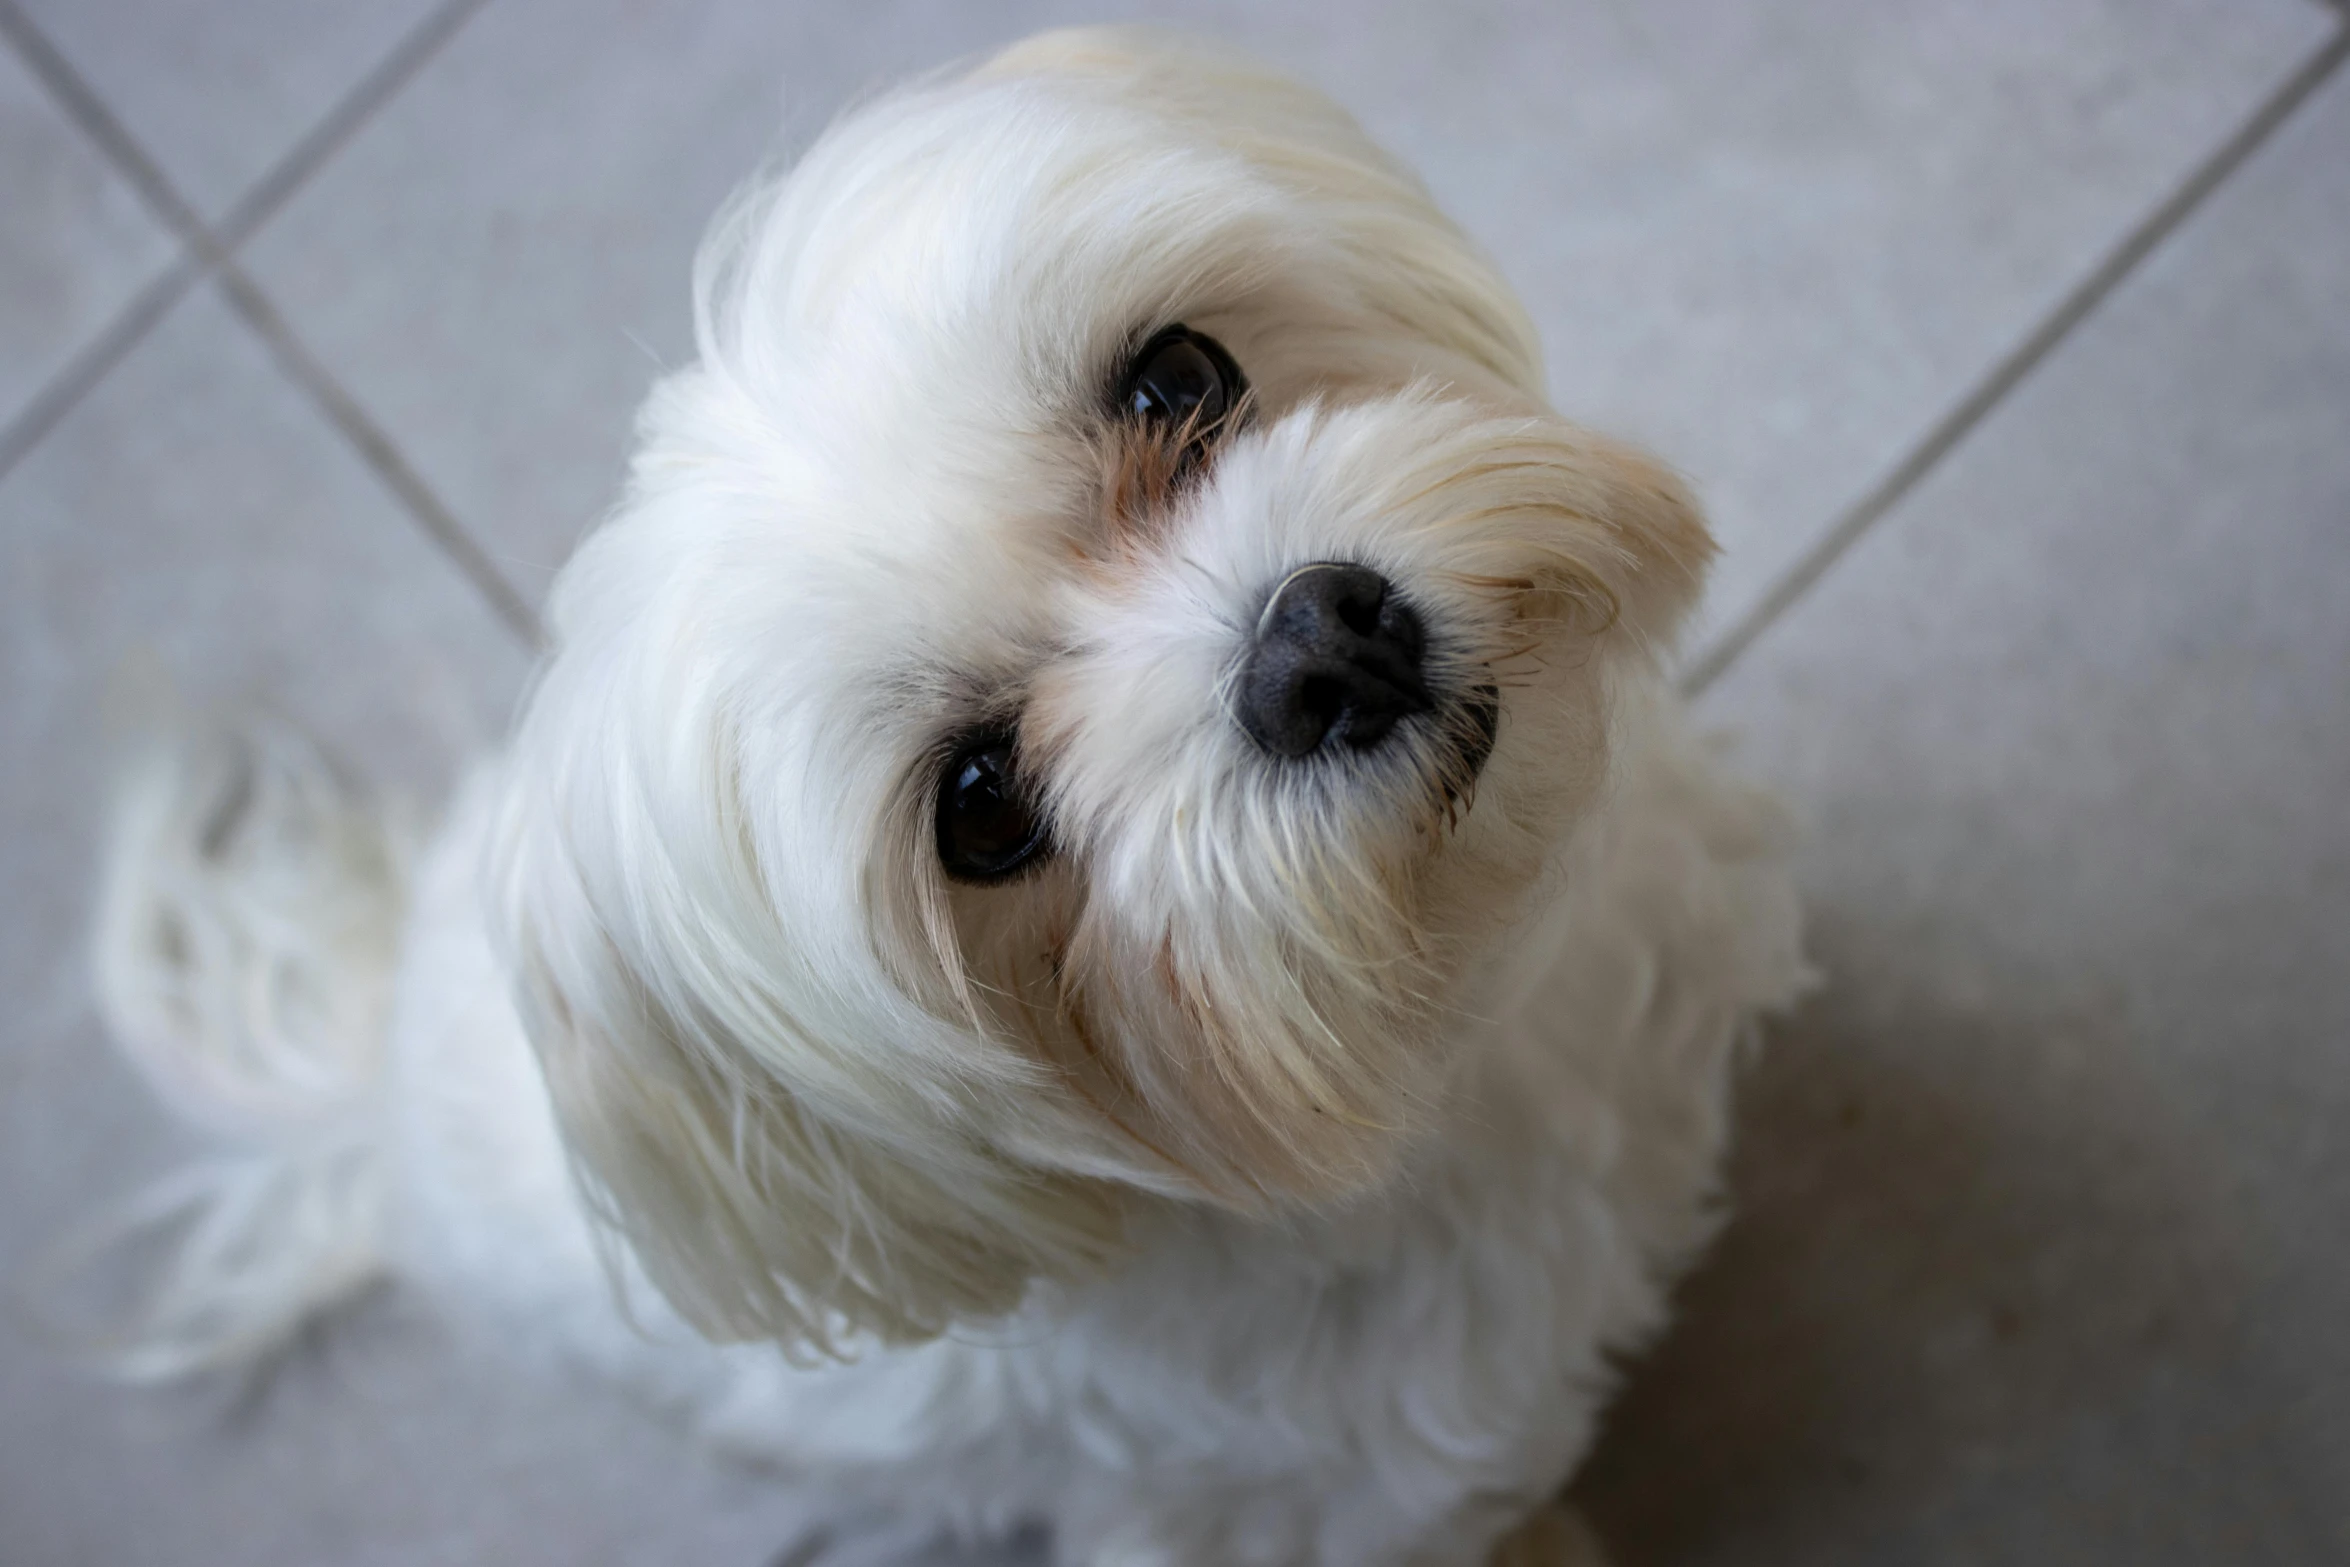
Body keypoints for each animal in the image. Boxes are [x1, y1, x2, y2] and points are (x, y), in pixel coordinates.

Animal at [78, 27, 1795, 1567]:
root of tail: (377, 1053)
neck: (1450, 1029)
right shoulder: (1297, 1511)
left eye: (1179, 375)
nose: (1318, 645)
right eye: (978, 809)